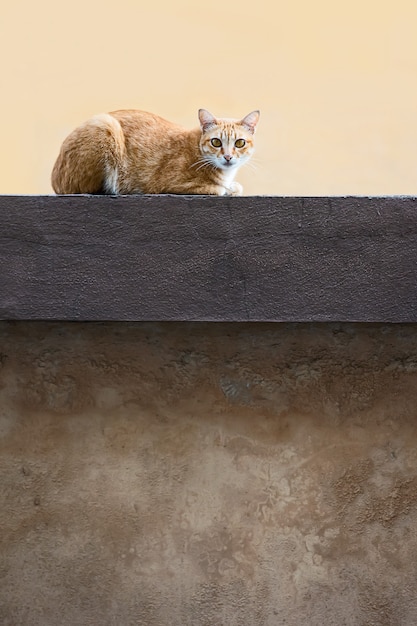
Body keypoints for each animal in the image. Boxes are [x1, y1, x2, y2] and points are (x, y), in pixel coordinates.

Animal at [50, 107, 258, 195]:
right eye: (216, 142)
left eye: (239, 143)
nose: (228, 156)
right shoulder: (170, 184)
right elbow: (218, 189)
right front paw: (226, 188)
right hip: (105, 125)